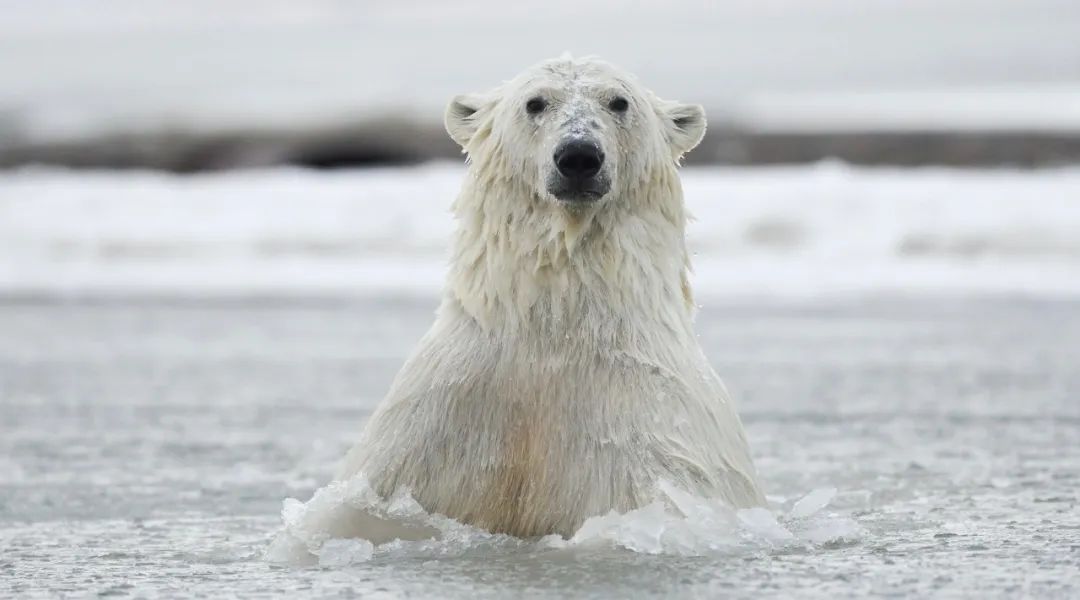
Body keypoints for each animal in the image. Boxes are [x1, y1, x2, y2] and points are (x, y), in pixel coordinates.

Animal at [339, 56, 768, 539]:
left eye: (619, 102)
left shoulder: (653, 439)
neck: (555, 329)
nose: (579, 156)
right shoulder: (429, 435)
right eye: (535, 102)